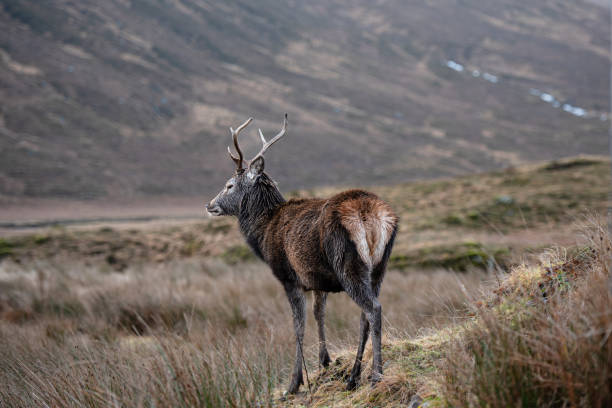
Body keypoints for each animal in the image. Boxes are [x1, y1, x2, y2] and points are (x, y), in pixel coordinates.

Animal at [204, 115, 396, 396]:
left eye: (229, 185)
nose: (209, 205)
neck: (263, 231)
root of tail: (370, 214)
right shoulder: (317, 279)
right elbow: (319, 314)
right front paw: (325, 362)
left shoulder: (289, 277)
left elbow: (298, 326)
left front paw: (294, 383)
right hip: (380, 267)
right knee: (365, 315)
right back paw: (353, 377)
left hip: (348, 264)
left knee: (373, 309)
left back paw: (375, 377)